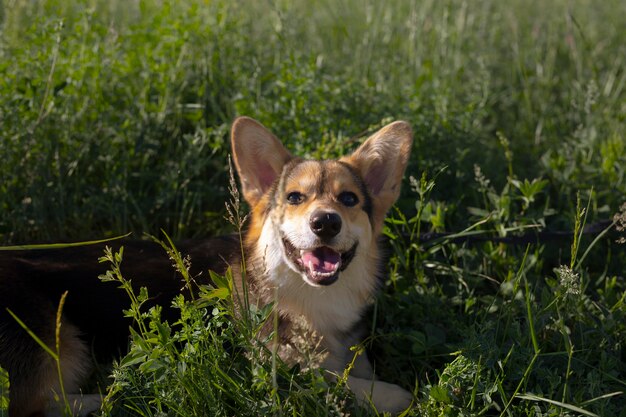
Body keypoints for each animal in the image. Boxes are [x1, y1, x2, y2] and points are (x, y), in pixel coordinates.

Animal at [2, 117, 416, 416]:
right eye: (295, 198)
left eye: (349, 199)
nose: (326, 222)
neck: (306, 297)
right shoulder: (271, 370)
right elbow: (340, 380)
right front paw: (392, 394)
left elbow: (353, 365)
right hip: (61, 342)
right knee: (33, 406)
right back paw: (104, 399)